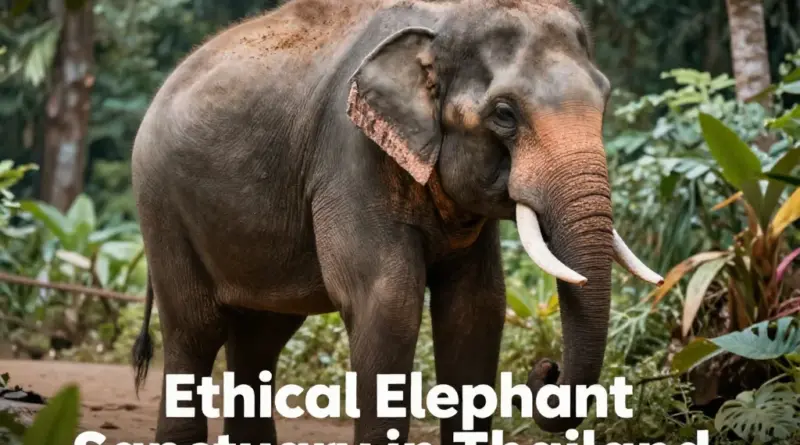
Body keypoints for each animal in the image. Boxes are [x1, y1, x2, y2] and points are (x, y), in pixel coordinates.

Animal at [129, 0, 663, 444]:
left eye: (605, 99)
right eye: (505, 114)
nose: (546, 370)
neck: (443, 21)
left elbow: (477, 308)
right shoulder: (349, 157)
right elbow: (388, 303)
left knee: (260, 338)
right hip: (160, 204)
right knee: (195, 331)